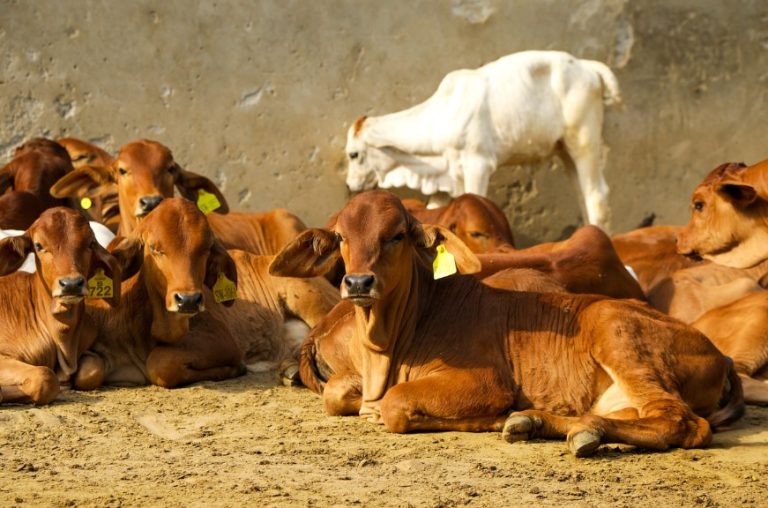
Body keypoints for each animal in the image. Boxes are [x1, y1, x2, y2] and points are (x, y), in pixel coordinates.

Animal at [270, 190, 742, 457]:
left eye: (397, 235)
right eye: (342, 238)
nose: (358, 282)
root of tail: (721, 354)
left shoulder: (486, 381)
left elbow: (395, 406)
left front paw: (493, 418)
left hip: (618, 333)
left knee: (682, 423)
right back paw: (541, 423)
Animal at [345, 51, 621, 229]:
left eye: (354, 154)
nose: (350, 184)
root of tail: (587, 66)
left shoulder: (477, 165)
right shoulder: (446, 178)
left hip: (584, 140)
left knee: (597, 196)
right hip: (564, 149)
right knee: (582, 193)